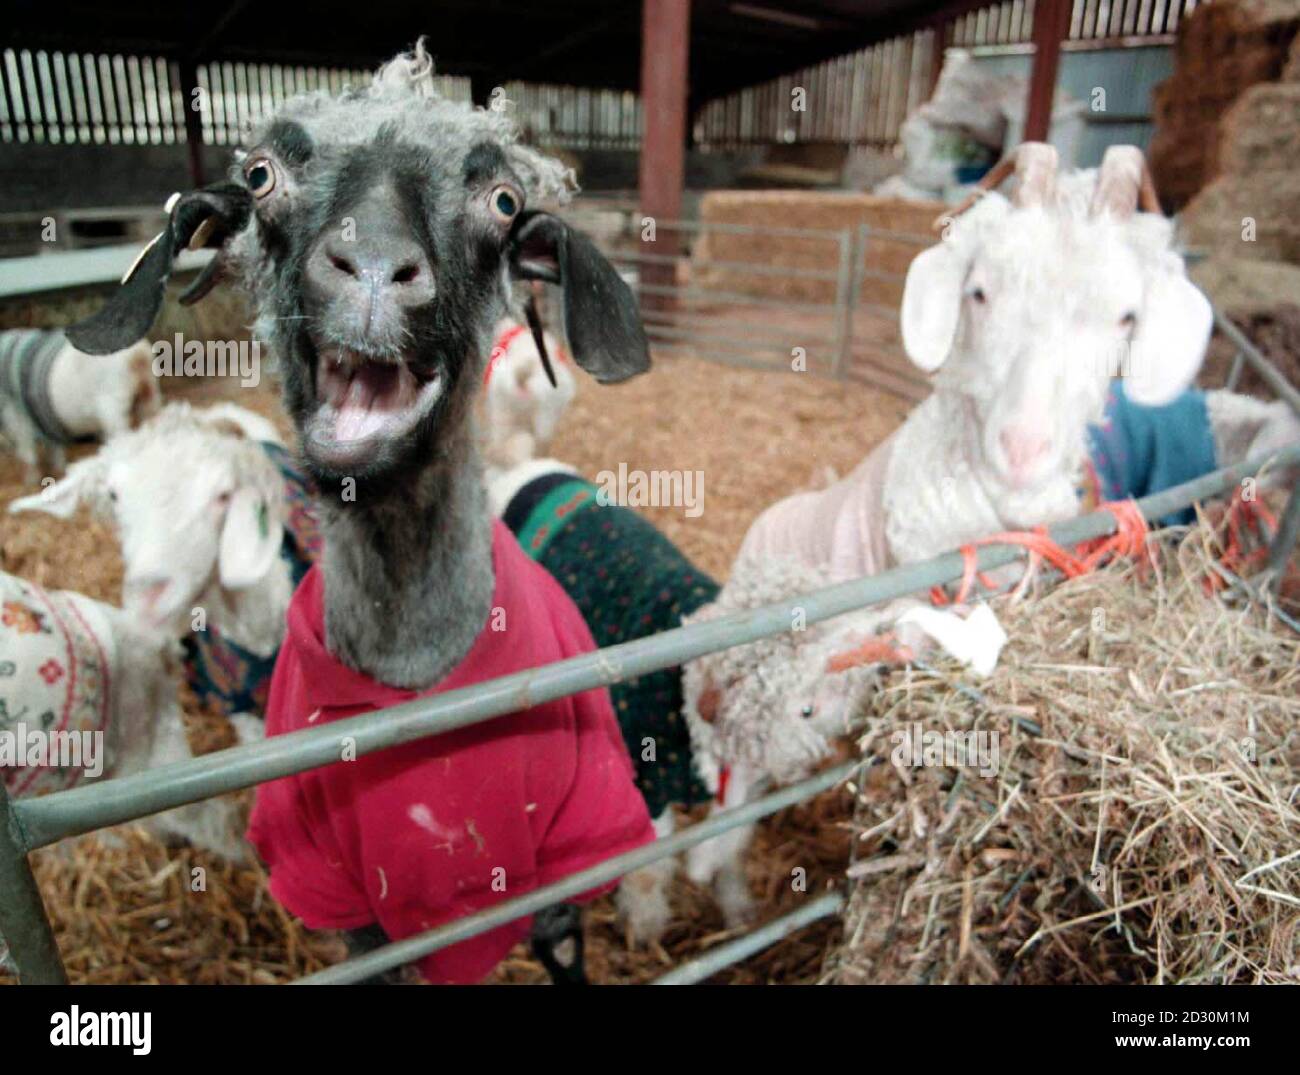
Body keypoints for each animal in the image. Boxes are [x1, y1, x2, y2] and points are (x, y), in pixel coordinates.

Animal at [0, 327, 159, 478]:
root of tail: (138, 355)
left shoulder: (18, 417)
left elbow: (27, 452)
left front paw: (31, 480)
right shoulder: (45, 418)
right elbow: (55, 449)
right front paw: (58, 471)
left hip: (114, 408)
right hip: (149, 397)